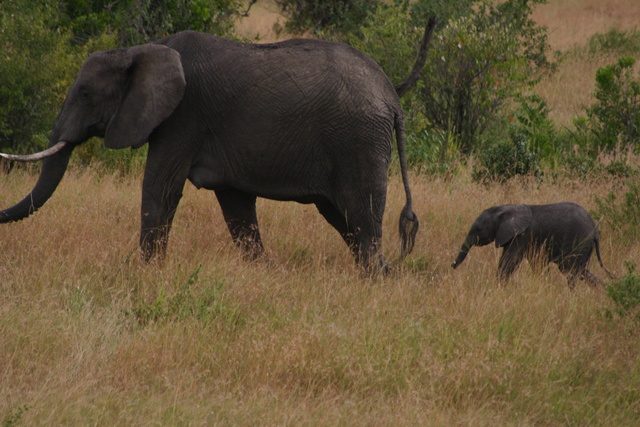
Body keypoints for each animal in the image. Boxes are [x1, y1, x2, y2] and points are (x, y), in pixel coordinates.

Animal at [1, 25, 436, 274]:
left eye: (85, 93)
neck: (142, 49)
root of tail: (392, 98)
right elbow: (237, 207)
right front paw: (265, 273)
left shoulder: (183, 118)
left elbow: (160, 189)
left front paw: (146, 273)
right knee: (345, 219)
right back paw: (383, 275)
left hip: (358, 140)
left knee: (361, 215)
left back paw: (374, 278)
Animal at [452, 203, 612, 290]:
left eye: (478, 229)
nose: (452, 266)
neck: (507, 208)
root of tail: (595, 231)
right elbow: (537, 263)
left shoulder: (521, 236)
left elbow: (509, 262)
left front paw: (497, 288)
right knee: (581, 271)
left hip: (579, 241)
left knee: (570, 271)